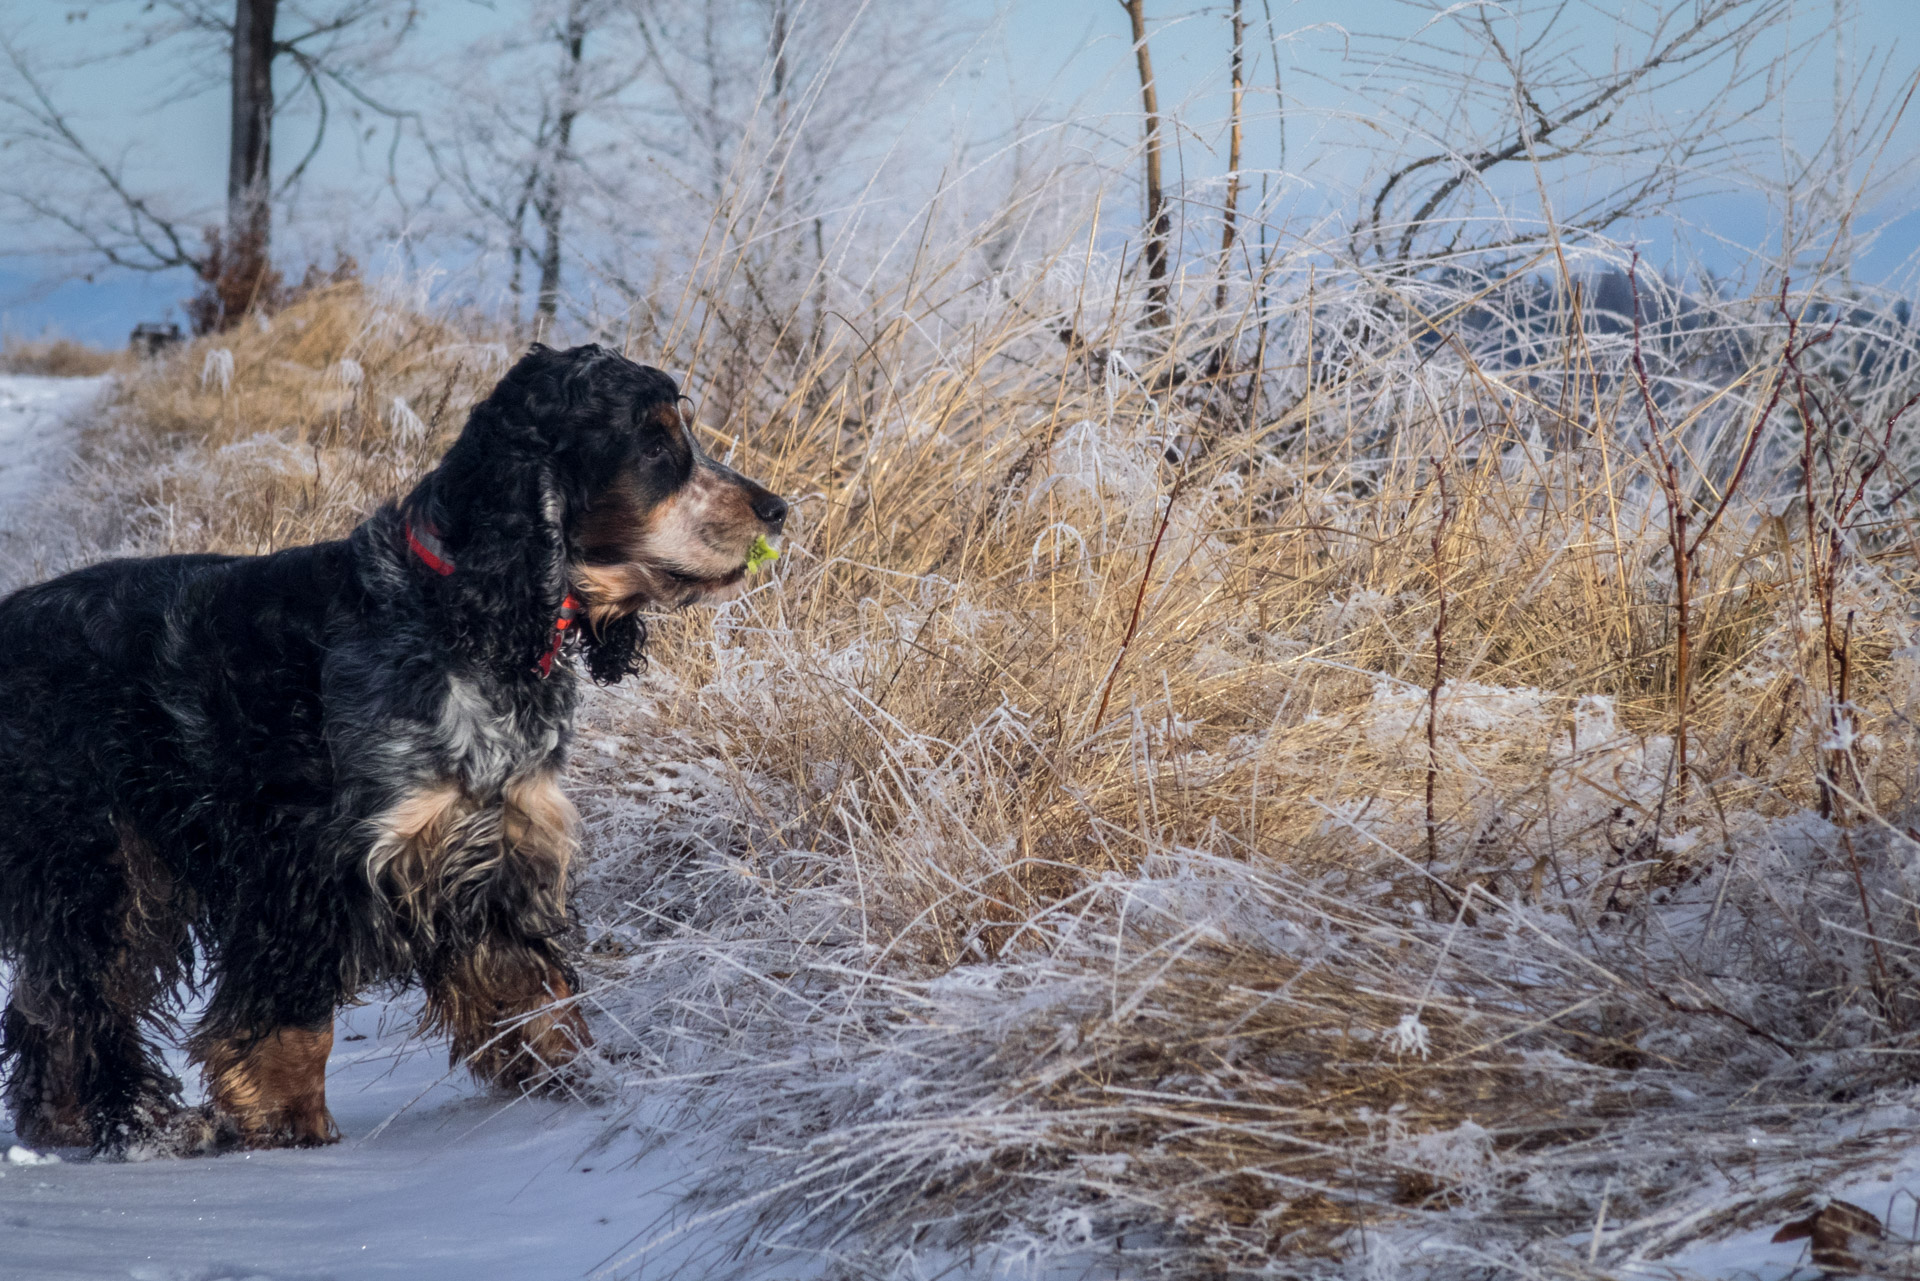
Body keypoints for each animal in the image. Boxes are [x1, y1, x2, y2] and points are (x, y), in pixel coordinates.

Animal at [0, 345, 787, 1160]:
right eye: (656, 446)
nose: (778, 509)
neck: (460, 616)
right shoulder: (310, 863)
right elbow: (291, 1021)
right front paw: (289, 1123)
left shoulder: (495, 849)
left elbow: (536, 995)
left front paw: (580, 1083)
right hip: (98, 863)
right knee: (85, 997)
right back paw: (134, 1122)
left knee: (47, 1005)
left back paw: (64, 1117)